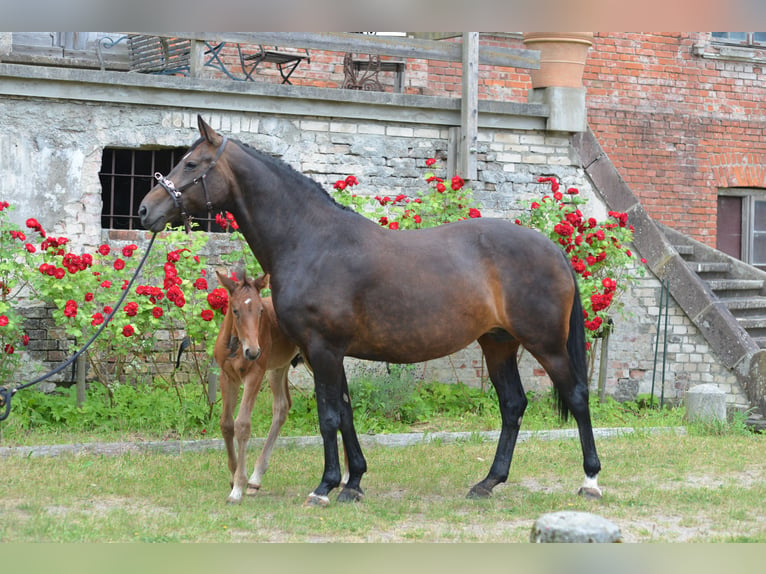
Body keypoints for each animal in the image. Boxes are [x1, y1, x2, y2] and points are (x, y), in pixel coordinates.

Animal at [141, 116, 604, 508]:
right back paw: (488, 482)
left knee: (578, 397)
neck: (312, 241)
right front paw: (353, 483)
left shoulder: (323, 349)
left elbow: (328, 416)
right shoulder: (325, 354)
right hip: (498, 344)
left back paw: (590, 480)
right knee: (512, 405)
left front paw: (325, 486)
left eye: (191, 163)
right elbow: (345, 412)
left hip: (547, 345)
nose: (146, 210)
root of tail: (554, 250)